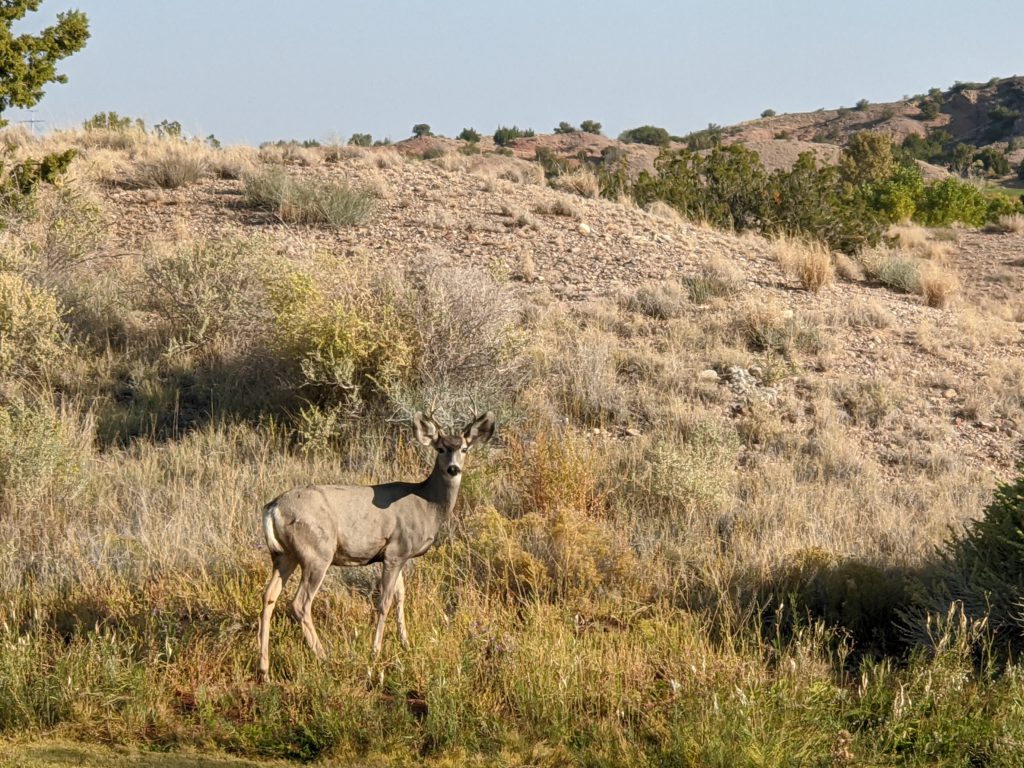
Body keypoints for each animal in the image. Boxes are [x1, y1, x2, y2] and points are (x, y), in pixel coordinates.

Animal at [256, 411, 495, 684]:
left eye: (464, 448)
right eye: (441, 448)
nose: (453, 469)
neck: (427, 505)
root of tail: (273, 507)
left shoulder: (400, 555)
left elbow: (401, 596)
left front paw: (405, 643)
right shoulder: (395, 551)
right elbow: (385, 602)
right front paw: (375, 651)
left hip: (284, 555)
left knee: (269, 595)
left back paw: (264, 669)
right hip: (317, 552)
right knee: (299, 603)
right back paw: (325, 657)